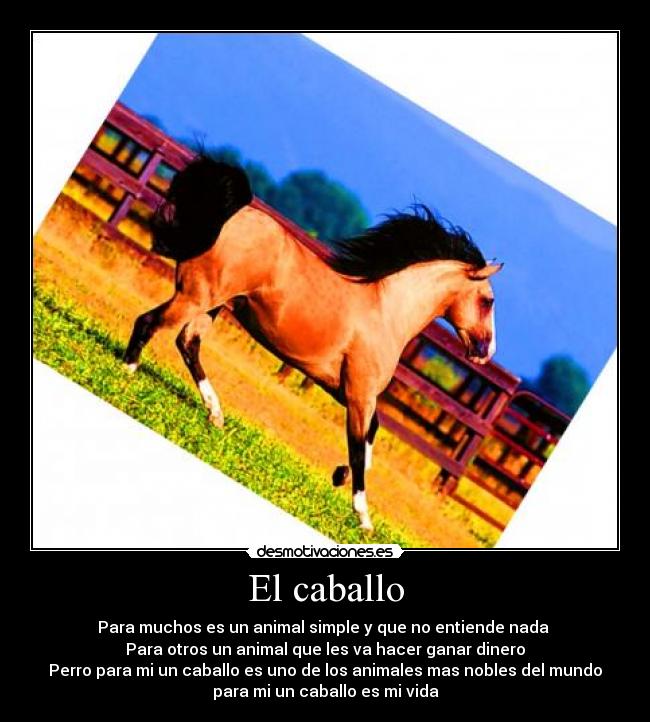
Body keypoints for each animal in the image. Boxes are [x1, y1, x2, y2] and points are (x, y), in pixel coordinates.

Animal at [124, 155, 503, 532]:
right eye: (488, 301)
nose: (486, 353)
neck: (388, 310)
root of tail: (233, 212)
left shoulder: (344, 389)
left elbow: (370, 437)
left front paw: (340, 477)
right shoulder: (359, 394)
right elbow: (359, 446)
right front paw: (363, 517)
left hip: (213, 304)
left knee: (187, 343)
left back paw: (215, 414)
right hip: (194, 297)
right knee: (149, 323)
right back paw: (128, 371)